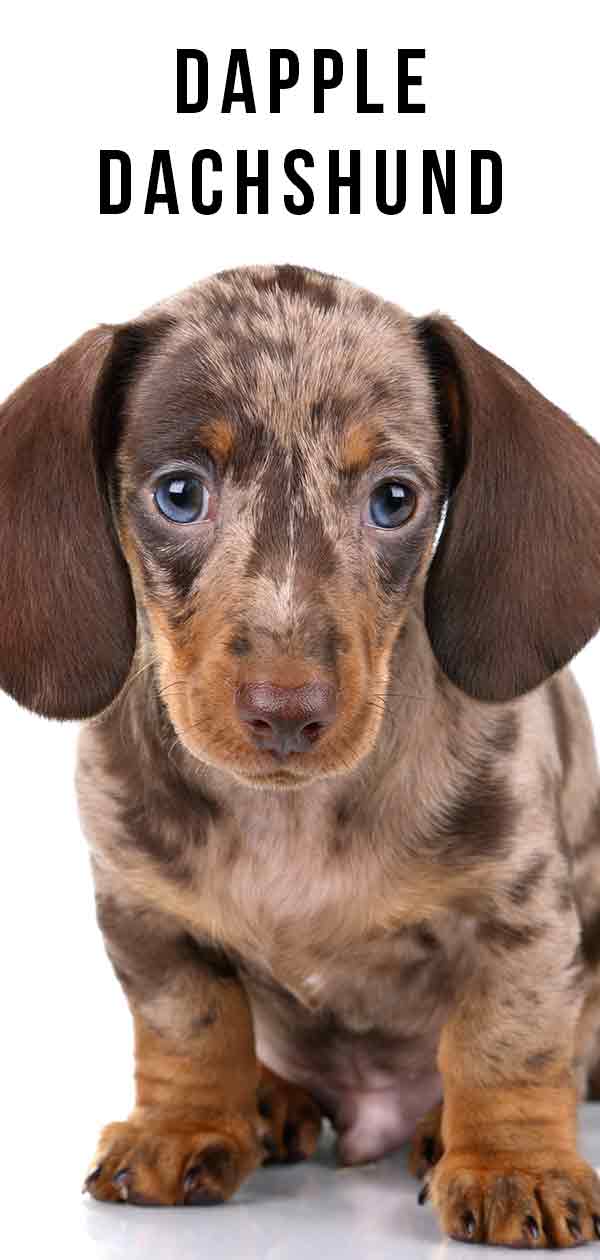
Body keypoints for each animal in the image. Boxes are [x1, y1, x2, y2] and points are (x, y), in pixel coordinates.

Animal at [3, 263, 600, 1239]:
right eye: (179, 492)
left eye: (394, 499)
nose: (287, 711)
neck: (289, 814)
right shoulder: (143, 914)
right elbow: (190, 1025)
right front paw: (184, 1126)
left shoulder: (522, 911)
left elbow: (506, 1041)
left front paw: (514, 1166)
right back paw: (271, 1098)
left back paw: (437, 1127)